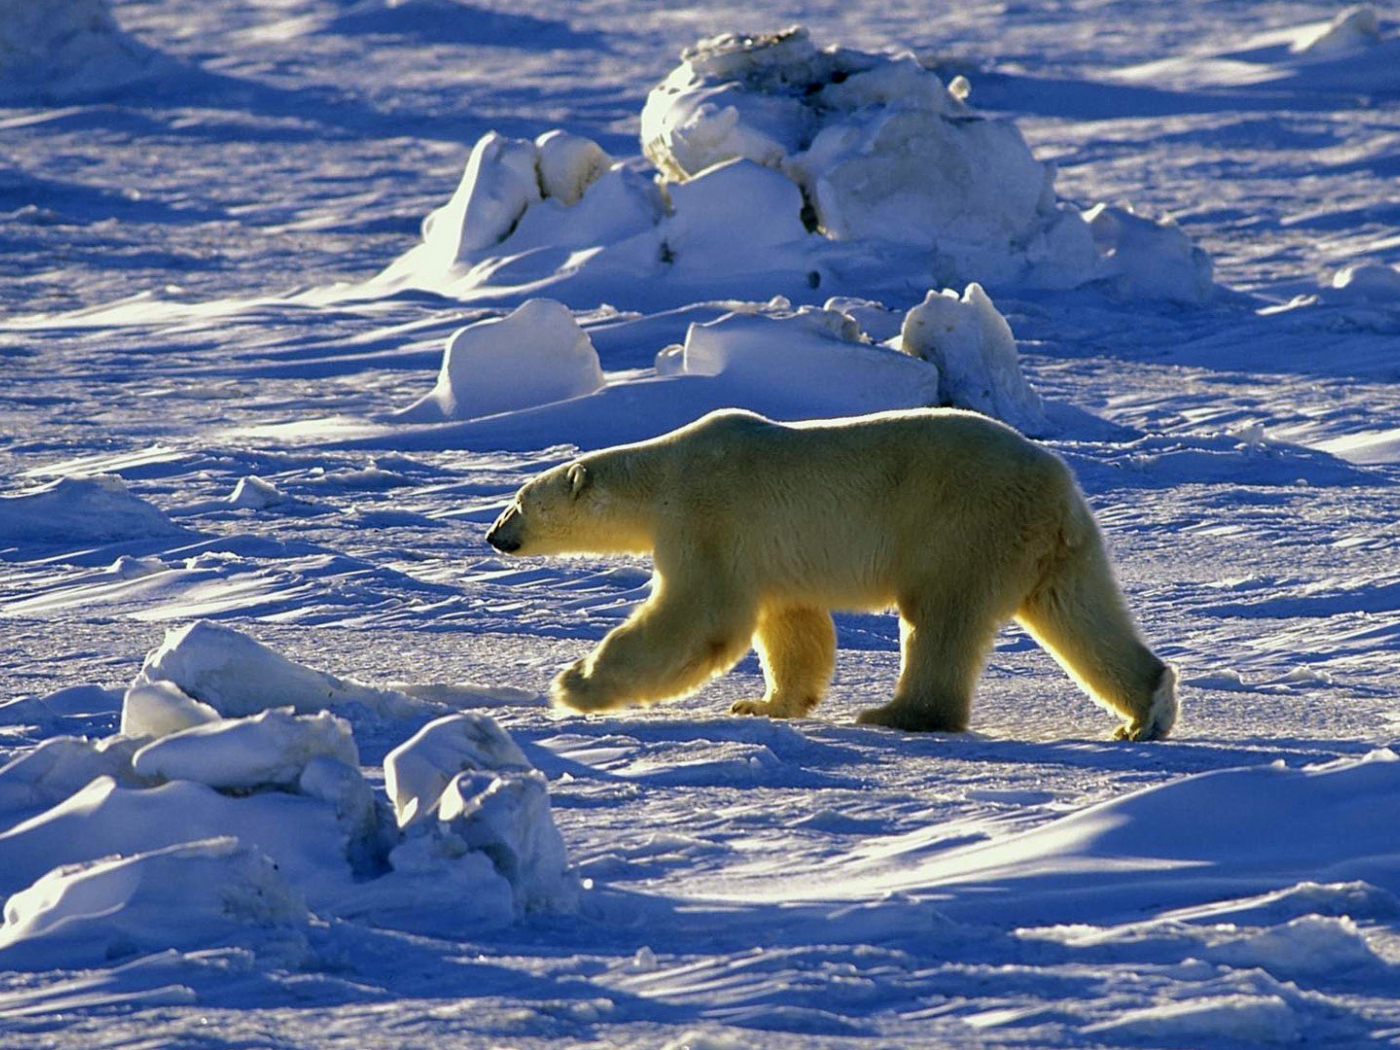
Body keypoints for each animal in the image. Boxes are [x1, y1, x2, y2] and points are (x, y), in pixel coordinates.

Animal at [487, 406, 1176, 744]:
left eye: (519, 501)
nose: (494, 536)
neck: (665, 473)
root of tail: (1058, 487)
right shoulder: (768, 554)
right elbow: (793, 626)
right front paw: (763, 703)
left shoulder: (708, 516)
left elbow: (701, 616)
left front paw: (574, 684)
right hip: (1055, 547)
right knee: (1080, 612)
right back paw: (1145, 712)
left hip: (964, 524)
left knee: (941, 618)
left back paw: (896, 714)